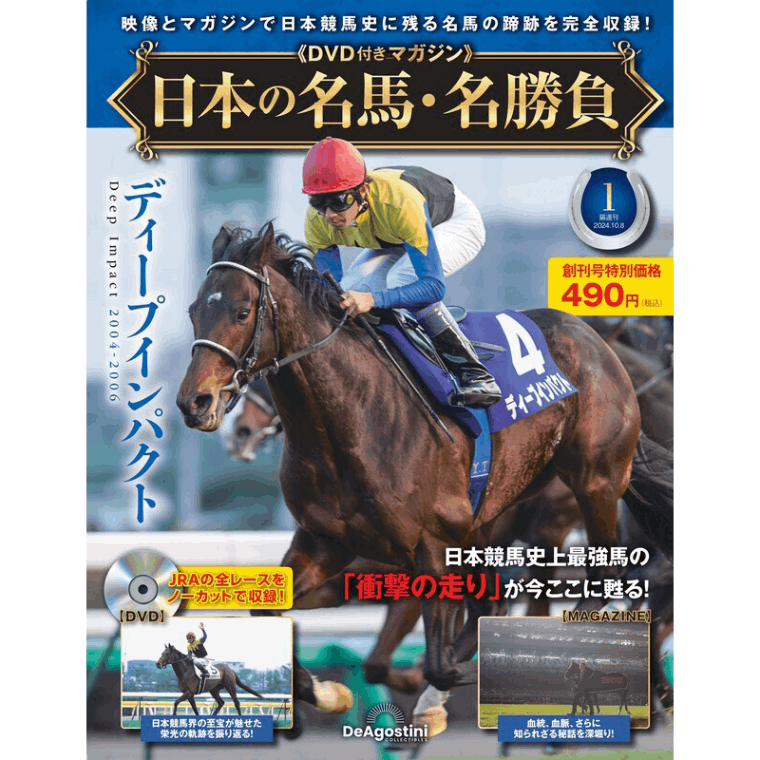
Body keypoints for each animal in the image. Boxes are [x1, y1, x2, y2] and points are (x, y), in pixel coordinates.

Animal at [176, 223, 673, 734]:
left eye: (241, 311)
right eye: (194, 311)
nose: (195, 403)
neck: (350, 421)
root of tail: (592, 338)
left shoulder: (430, 545)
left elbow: (437, 660)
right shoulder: (325, 543)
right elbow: (269, 610)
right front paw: (331, 693)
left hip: (593, 482)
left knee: (601, 576)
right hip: (488, 520)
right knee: (496, 603)